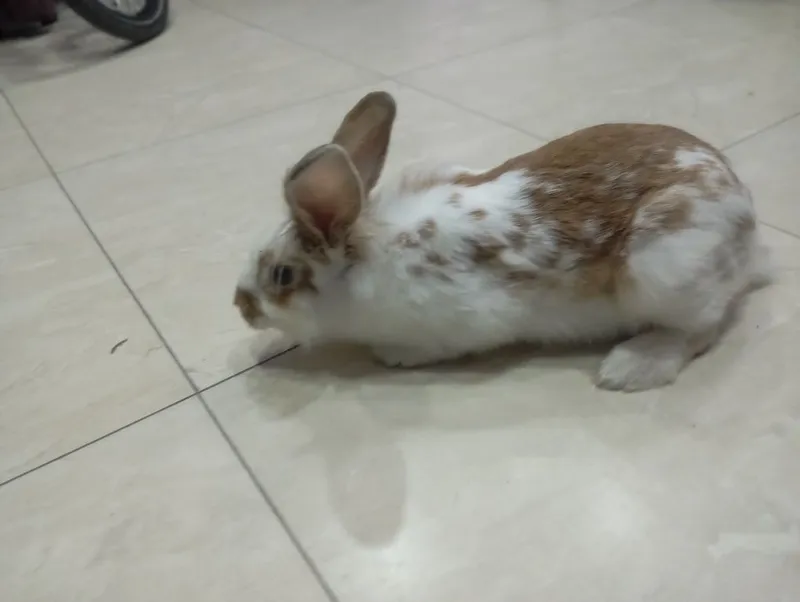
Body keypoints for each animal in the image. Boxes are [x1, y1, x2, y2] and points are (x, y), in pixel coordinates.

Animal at [235, 91, 769, 392]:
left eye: (281, 275)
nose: (242, 306)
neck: (368, 259)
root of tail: (745, 217)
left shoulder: (463, 321)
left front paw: (394, 356)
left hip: (666, 272)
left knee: (699, 331)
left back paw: (630, 367)